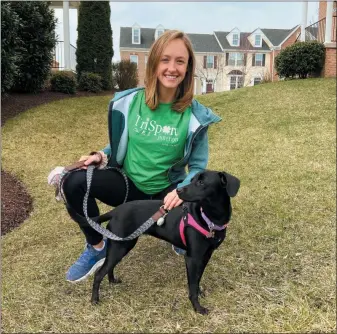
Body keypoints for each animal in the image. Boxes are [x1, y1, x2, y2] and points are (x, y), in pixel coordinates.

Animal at [89, 171, 239, 314]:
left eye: (201, 182)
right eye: (192, 180)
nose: (178, 191)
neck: (210, 220)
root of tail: (115, 211)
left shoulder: (206, 255)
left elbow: (197, 278)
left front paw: (199, 292)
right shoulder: (192, 258)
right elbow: (192, 285)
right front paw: (197, 308)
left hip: (121, 246)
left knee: (109, 267)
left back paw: (112, 281)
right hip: (120, 247)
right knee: (99, 274)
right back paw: (95, 299)